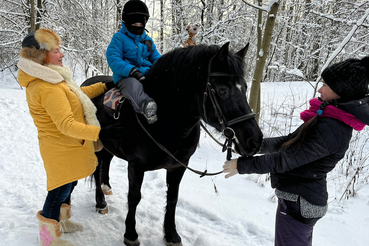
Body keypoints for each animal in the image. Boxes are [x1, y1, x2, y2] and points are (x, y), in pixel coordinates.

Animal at [82, 42, 264, 246]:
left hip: (109, 147)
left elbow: (172, 199)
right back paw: (100, 202)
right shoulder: (136, 166)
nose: (255, 140)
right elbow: (134, 198)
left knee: (106, 163)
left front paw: (171, 234)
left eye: (245, 87)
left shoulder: (178, 166)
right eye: (223, 90)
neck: (165, 120)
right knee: (97, 170)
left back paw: (107, 188)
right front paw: (131, 234)